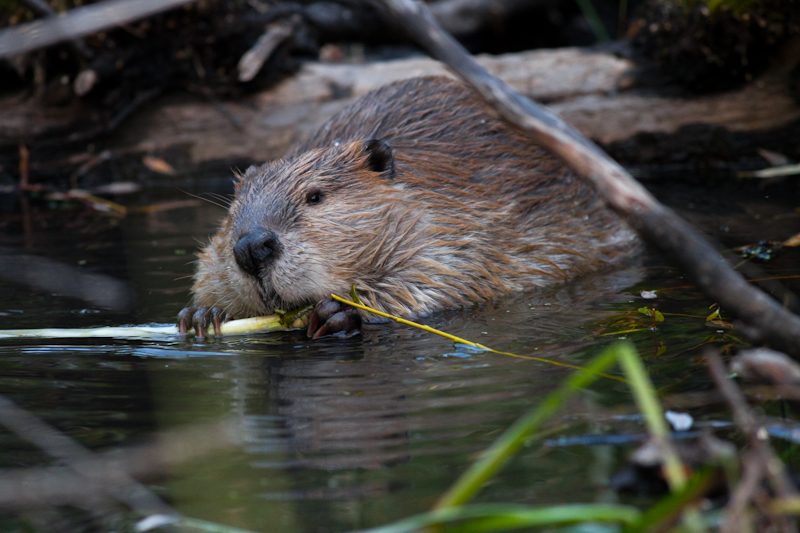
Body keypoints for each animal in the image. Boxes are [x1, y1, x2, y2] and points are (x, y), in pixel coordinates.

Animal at [180, 76, 636, 336]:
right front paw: (202, 314)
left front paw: (337, 312)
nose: (251, 248)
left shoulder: (462, 225)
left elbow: (438, 280)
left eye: (315, 196)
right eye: (234, 211)